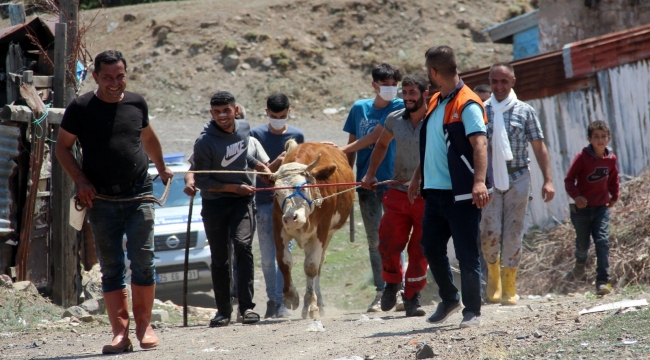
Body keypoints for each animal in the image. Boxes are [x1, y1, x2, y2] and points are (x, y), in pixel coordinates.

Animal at [270, 139, 352, 320]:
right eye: (276, 194)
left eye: (302, 187)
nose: (291, 218)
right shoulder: (279, 225)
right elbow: (284, 261)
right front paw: (291, 296)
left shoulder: (321, 230)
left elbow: (311, 267)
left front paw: (311, 305)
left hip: (328, 234)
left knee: (318, 266)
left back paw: (318, 303)